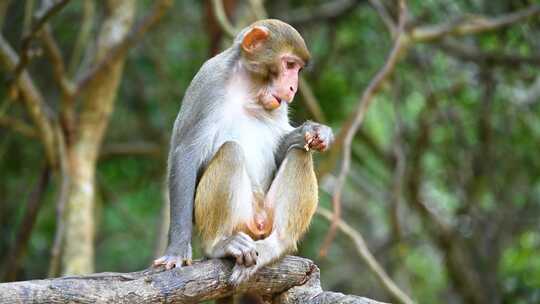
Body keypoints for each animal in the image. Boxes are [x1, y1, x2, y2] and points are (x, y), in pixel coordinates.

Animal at [153, 18, 334, 284]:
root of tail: (256, 223)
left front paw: (313, 131)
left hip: (265, 218)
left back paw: (276, 244)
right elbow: (185, 153)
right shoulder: (208, 81)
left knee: (300, 153)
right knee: (231, 151)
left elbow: (284, 148)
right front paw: (176, 251)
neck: (248, 87)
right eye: (289, 64)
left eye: (297, 69)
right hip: (238, 220)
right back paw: (219, 245)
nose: (293, 88)